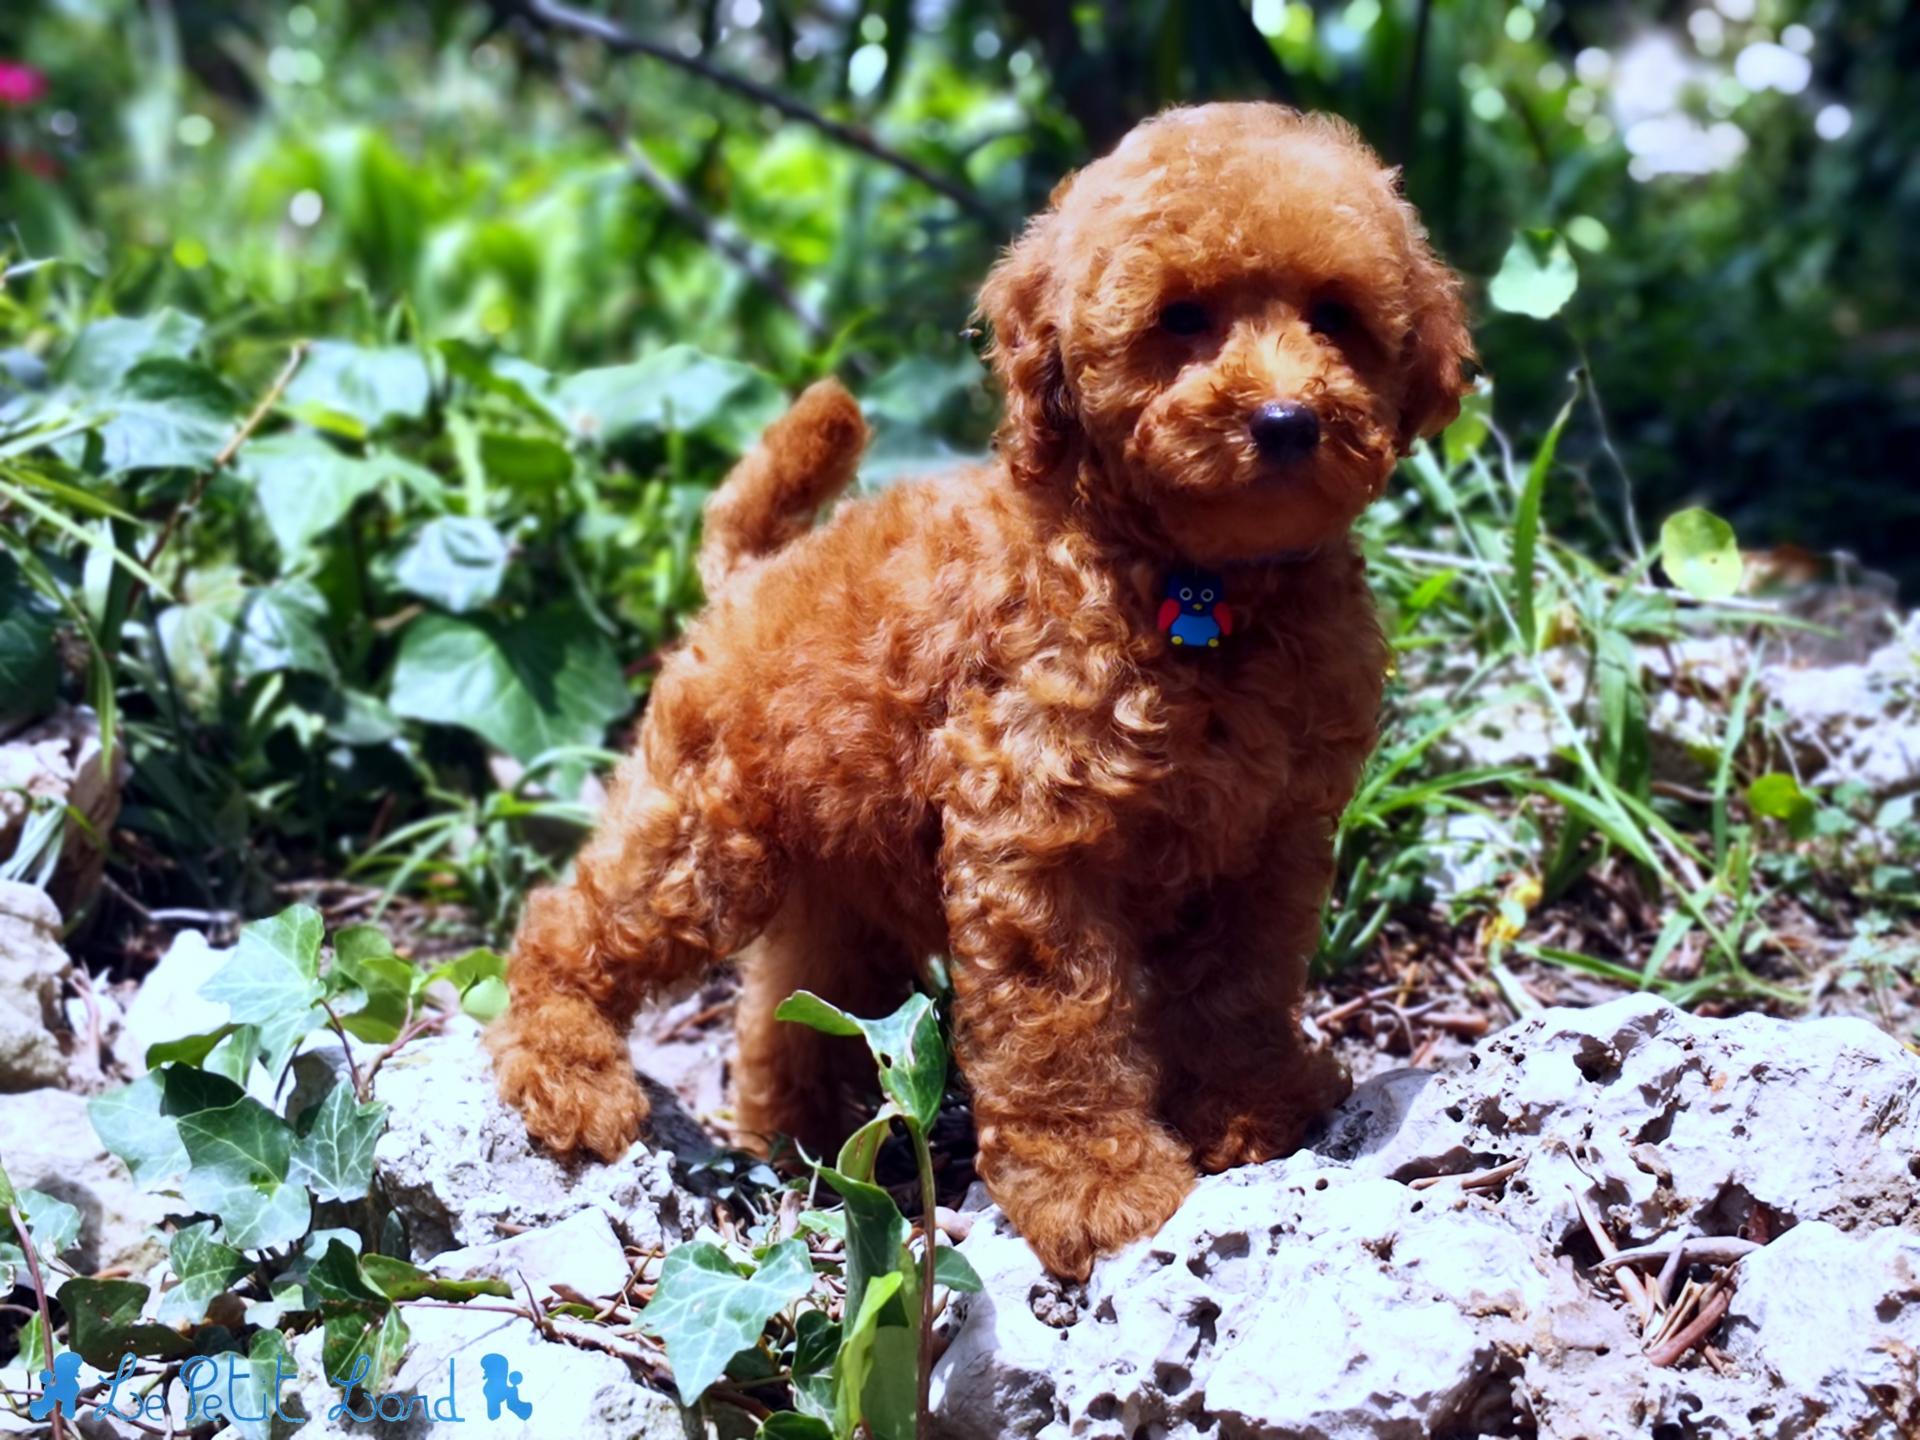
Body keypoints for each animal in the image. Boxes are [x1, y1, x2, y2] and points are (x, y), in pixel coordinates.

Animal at [491, 104, 1466, 1282]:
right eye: (1182, 318)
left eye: (1335, 316)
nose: (1284, 420)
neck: (1200, 589)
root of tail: (753, 573)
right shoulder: (1037, 845)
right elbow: (1061, 1025)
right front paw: (1097, 1184)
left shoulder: (1273, 838)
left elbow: (1240, 982)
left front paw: (1254, 1107)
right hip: (707, 832)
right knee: (578, 917)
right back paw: (567, 1065)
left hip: (840, 863)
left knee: (799, 990)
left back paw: (801, 1133)